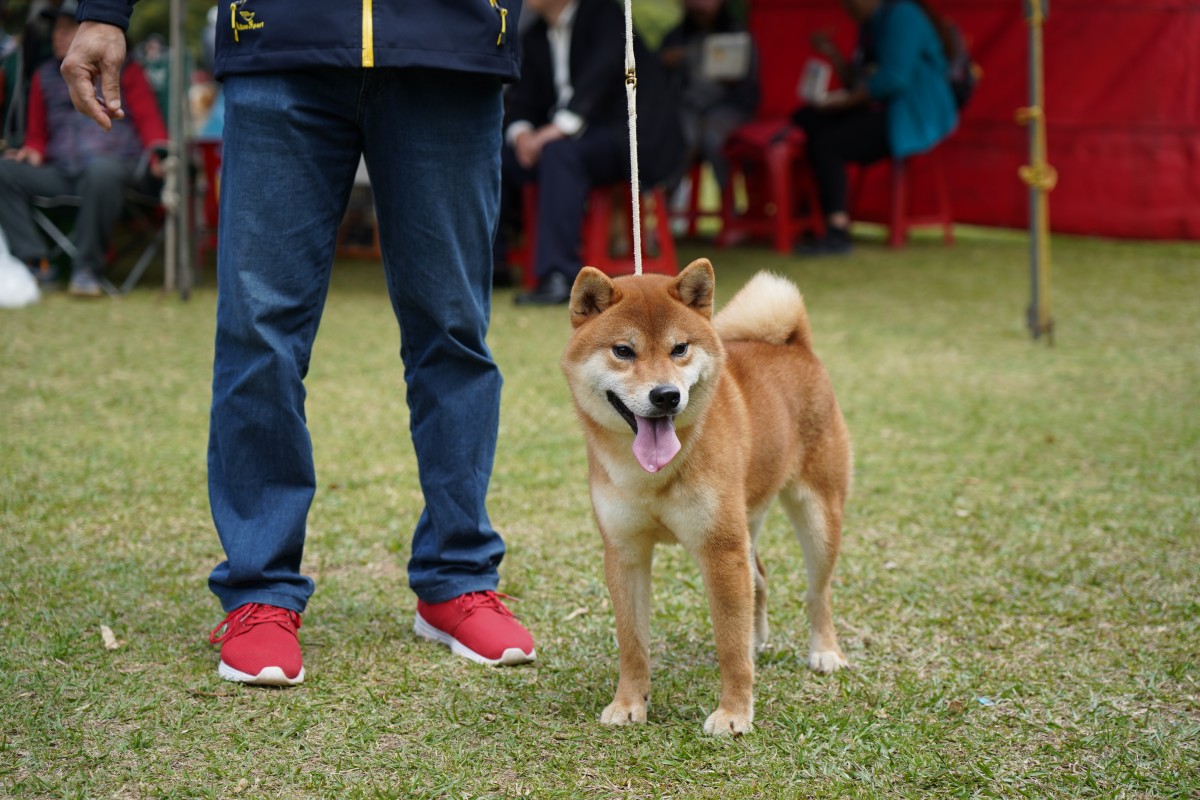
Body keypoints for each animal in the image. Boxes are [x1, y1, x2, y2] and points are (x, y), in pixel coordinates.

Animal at [561, 260, 854, 734]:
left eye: (679, 348)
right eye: (623, 351)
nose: (666, 395)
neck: (651, 474)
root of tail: (796, 345)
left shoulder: (720, 550)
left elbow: (729, 648)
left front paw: (734, 713)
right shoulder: (625, 552)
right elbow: (632, 643)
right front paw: (629, 703)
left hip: (817, 515)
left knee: (818, 592)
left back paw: (825, 651)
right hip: (746, 518)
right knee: (759, 578)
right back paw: (759, 637)